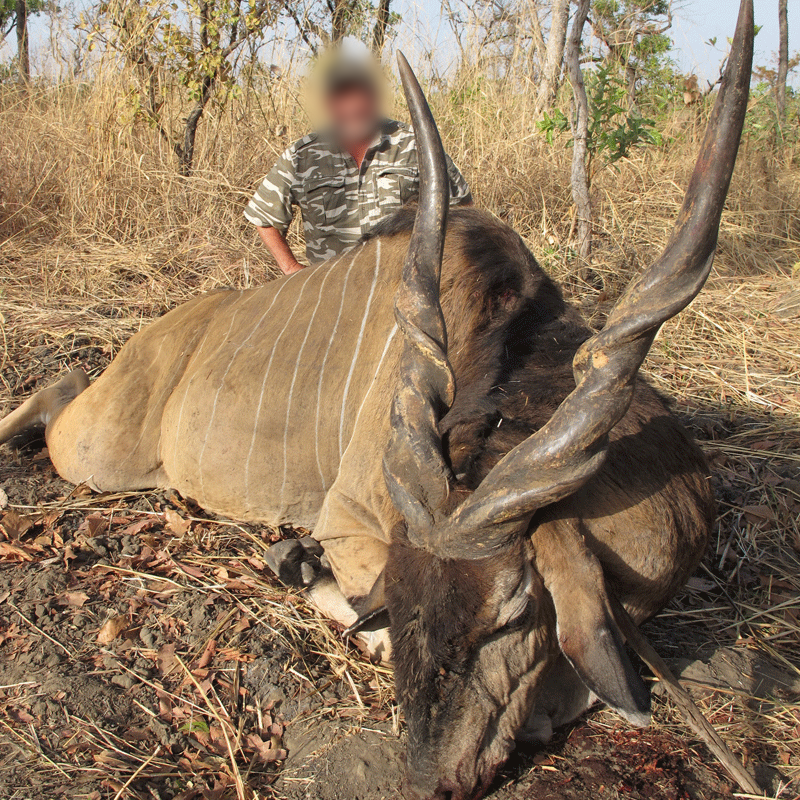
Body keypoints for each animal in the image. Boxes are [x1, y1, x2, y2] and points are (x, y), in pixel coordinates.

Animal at [0, 3, 752, 796]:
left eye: (514, 611)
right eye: (407, 590)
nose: (428, 778)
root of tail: (169, 328)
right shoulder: (350, 523)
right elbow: (371, 618)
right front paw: (299, 565)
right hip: (100, 456)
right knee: (59, 396)